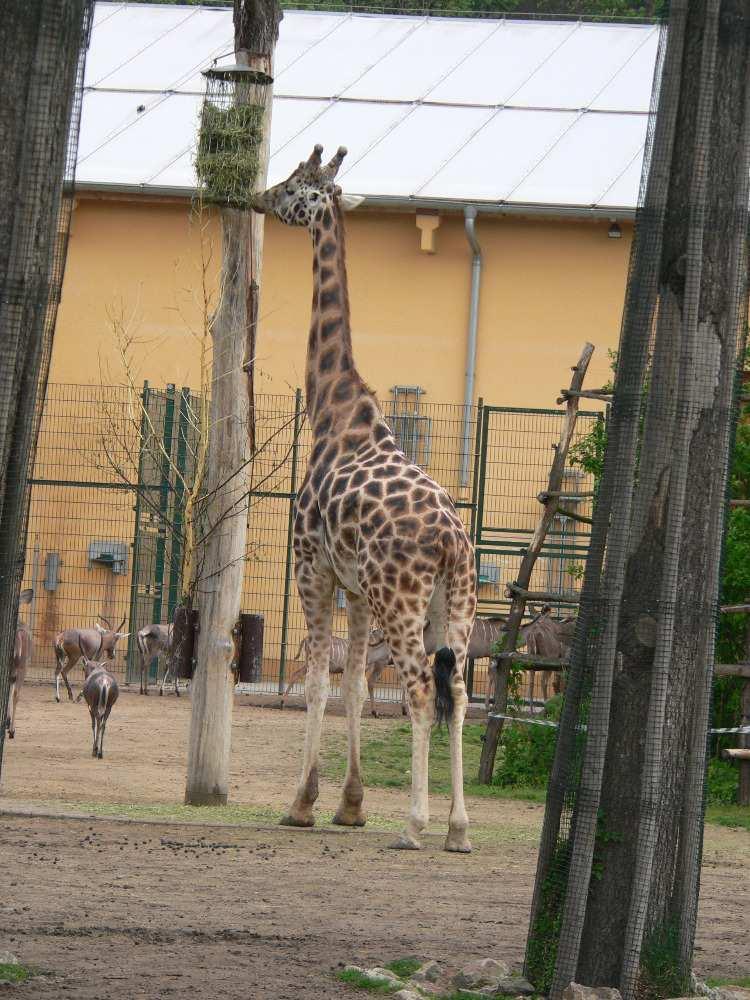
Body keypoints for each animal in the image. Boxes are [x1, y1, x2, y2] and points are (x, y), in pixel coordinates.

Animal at [251, 146, 476, 852]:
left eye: (296, 183)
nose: (259, 195)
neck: (332, 410)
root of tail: (450, 541)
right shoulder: (353, 586)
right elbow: (351, 683)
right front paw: (349, 805)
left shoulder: (312, 568)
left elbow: (317, 680)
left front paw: (301, 804)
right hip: (453, 602)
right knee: (459, 691)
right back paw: (458, 828)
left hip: (402, 599)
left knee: (420, 688)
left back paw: (415, 825)